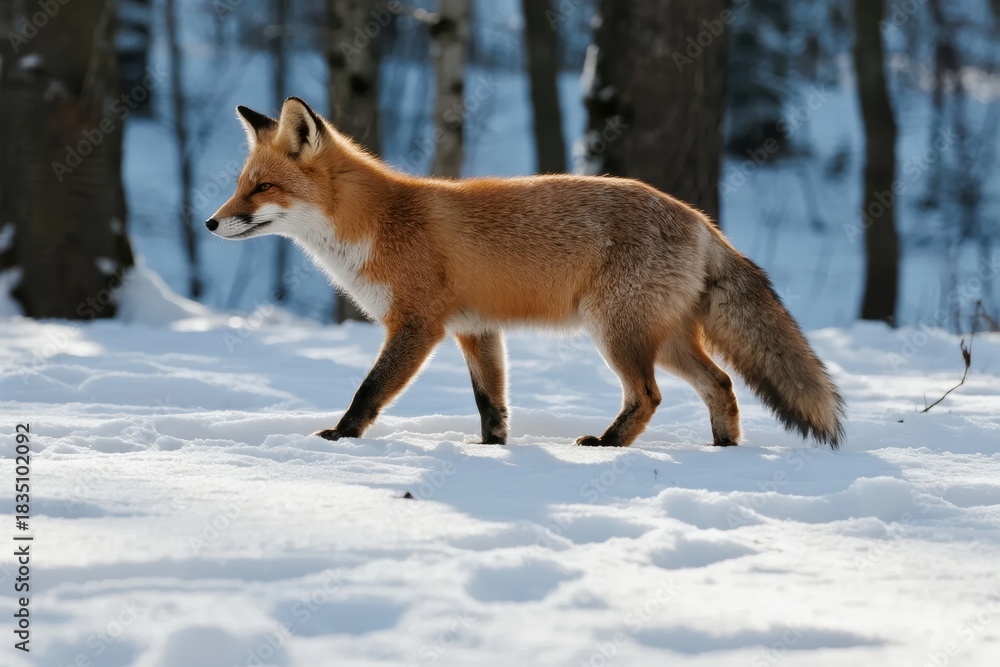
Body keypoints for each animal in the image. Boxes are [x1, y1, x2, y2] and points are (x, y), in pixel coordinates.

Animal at [207, 97, 845, 449]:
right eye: (241, 184)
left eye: (262, 188)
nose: (211, 223)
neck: (377, 224)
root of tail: (699, 219)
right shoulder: (475, 328)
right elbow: (491, 405)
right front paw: (494, 452)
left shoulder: (417, 324)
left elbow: (369, 390)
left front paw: (341, 438)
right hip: (662, 338)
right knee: (722, 384)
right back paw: (723, 451)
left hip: (618, 333)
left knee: (650, 395)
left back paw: (608, 445)